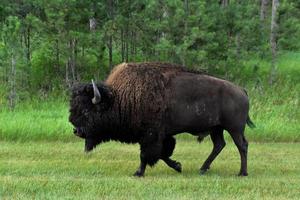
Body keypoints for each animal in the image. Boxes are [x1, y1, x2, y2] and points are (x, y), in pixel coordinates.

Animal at [69, 62, 254, 177]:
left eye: (86, 110)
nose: (76, 131)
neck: (120, 99)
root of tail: (242, 90)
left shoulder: (151, 135)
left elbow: (146, 154)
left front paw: (138, 173)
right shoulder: (163, 136)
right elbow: (163, 153)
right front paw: (178, 166)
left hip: (234, 128)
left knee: (242, 145)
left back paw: (242, 173)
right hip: (217, 128)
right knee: (219, 145)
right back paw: (202, 169)